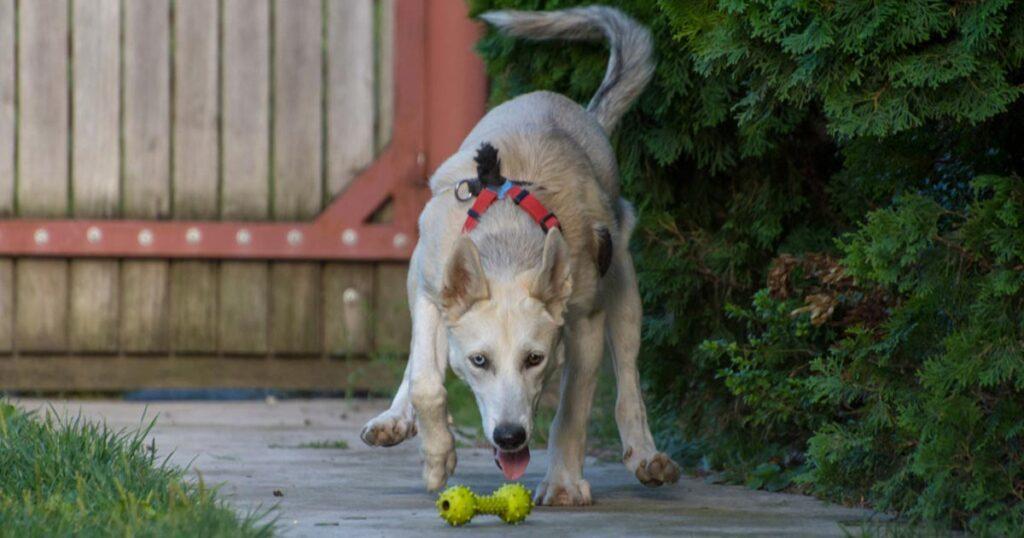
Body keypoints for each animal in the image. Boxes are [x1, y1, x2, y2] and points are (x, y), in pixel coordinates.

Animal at [360, 6, 679, 506]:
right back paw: (396, 418)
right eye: (479, 361)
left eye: (534, 359)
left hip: (624, 287)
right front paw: (437, 459)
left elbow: (572, 408)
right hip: (420, 277)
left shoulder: (585, 320)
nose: (509, 437)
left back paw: (646, 456)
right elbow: (427, 381)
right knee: (418, 359)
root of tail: (582, 112)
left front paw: (563, 483)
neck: (507, 240)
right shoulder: (432, 291)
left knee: (629, 379)